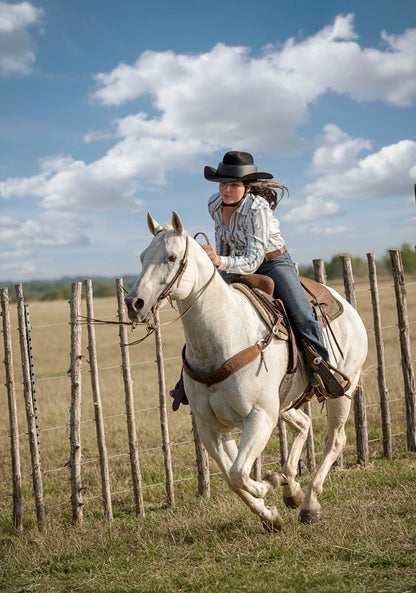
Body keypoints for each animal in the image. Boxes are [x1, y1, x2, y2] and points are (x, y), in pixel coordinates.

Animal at [124, 212, 368, 528]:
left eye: (171, 257)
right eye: (142, 257)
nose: (134, 303)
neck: (224, 335)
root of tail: (347, 306)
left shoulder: (260, 417)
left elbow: (240, 473)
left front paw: (270, 483)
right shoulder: (211, 428)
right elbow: (232, 478)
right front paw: (271, 513)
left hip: (340, 391)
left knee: (334, 440)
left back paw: (309, 503)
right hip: (284, 404)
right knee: (304, 424)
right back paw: (292, 489)